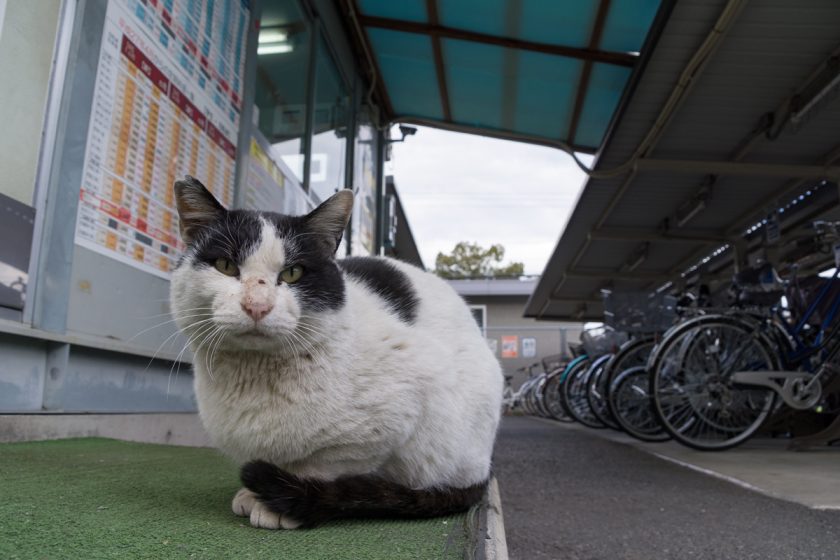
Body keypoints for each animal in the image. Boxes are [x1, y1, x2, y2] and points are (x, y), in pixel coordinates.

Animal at [167, 176, 502, 528]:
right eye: (225, 265)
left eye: (293, 273)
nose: (257, 305)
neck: (253, 374)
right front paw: (255, 494)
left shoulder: (395, 412)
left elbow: (321, 464)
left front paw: (280, 499)